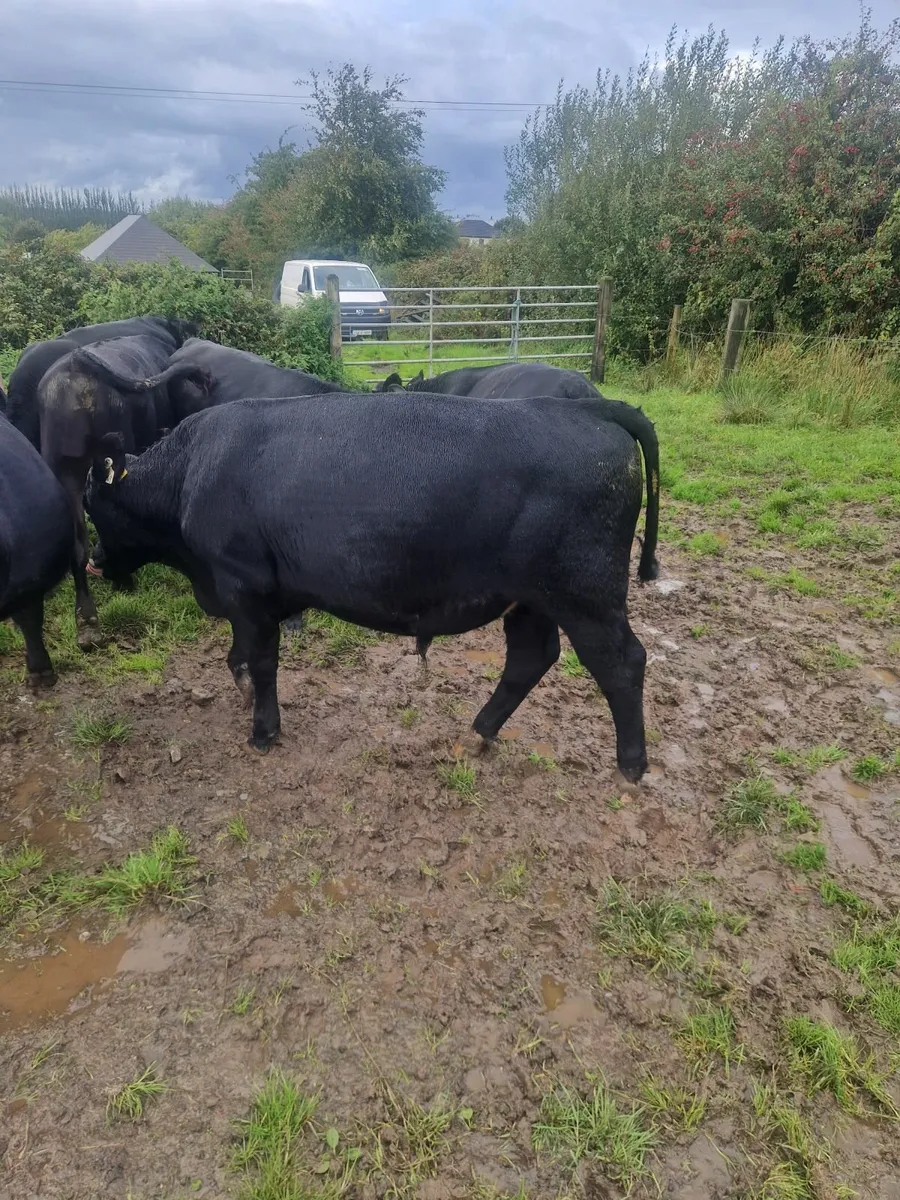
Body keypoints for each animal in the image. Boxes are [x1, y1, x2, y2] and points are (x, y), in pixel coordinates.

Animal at [86, 390, 660, 782]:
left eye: (91, 507)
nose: (92, 562)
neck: (193, 469)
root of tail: (588, 408)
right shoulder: (245, 596)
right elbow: (240, 654)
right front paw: (243, 690)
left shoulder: (244, 586)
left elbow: (263, 660)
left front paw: (263, 730)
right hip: (533, 600)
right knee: (530, 658)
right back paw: (480, 731)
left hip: (585, 595)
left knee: (622, 663)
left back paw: (631, 765)